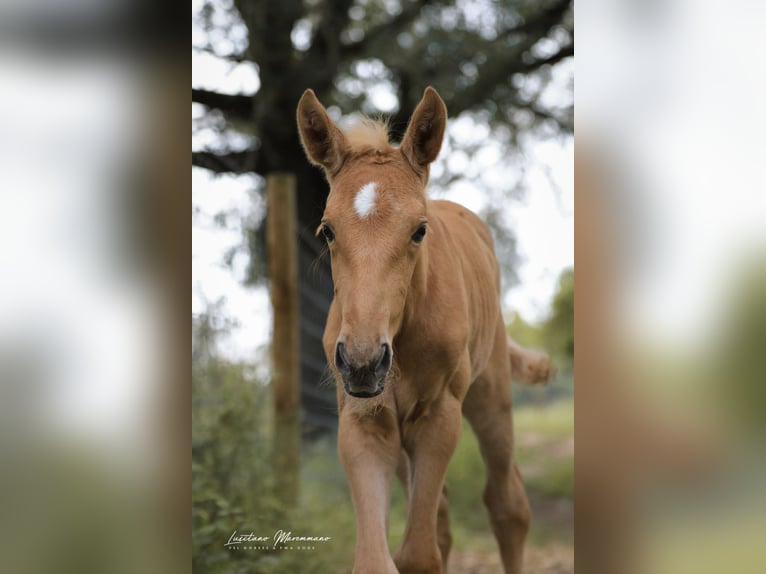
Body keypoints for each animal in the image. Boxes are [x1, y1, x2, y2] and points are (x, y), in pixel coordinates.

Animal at [296, 86, 556, 574]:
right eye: (327, 231)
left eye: (419, 231)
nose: (362, 362)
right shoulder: (364, 420)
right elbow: (379, 559)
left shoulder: (439, 415)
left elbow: (418, 555)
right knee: (443, 513)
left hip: (491, 395)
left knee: (508, 504)